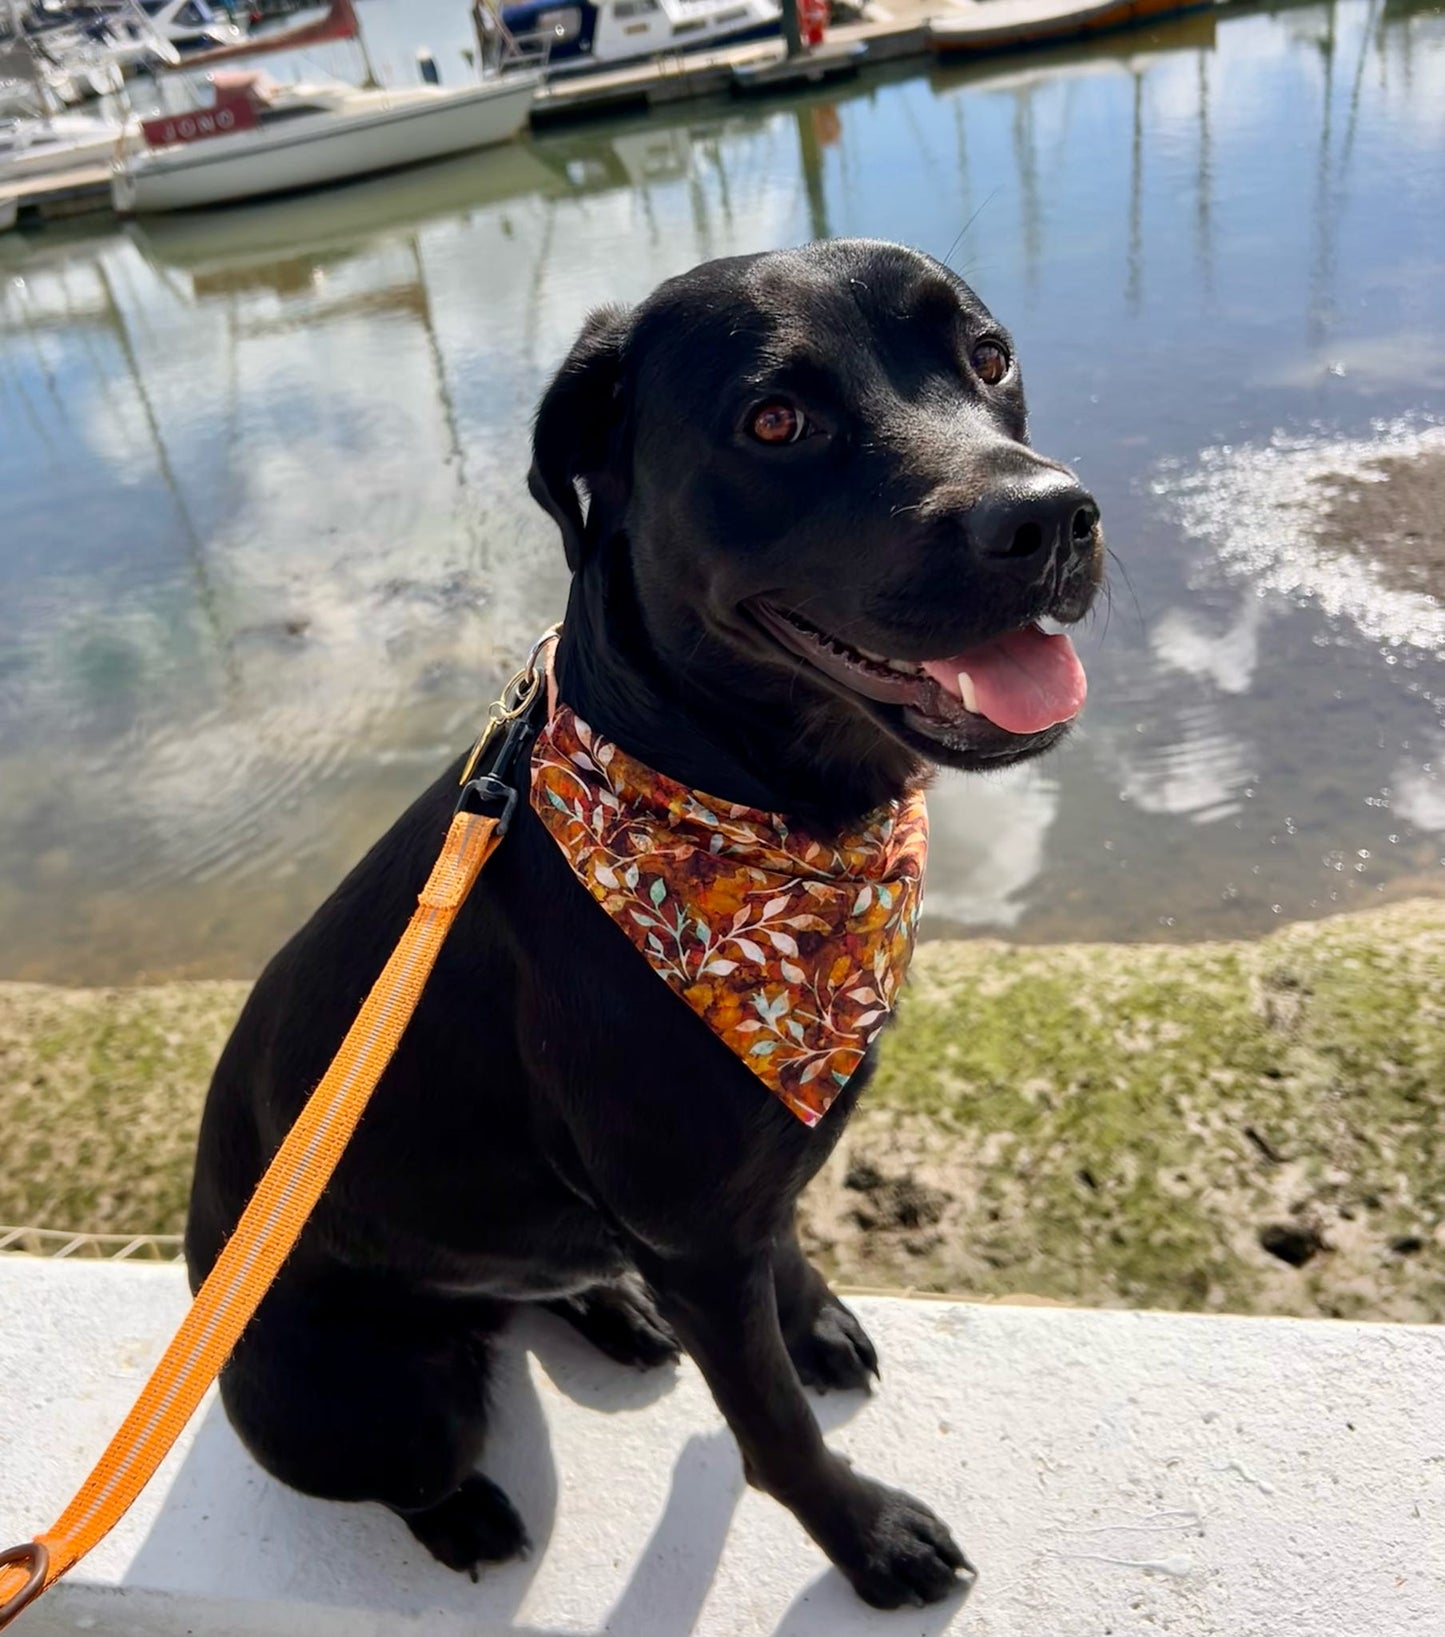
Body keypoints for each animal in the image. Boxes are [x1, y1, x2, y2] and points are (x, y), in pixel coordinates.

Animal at [186, 242, 1099, 1610]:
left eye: (987, 356)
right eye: (774, 422)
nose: (1045, 516)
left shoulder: (739, 1191)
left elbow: (782, 1245)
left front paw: (811, 1317)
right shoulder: (694, 1234)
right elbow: (772, 1426)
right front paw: (865, 1536)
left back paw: (608, 1308)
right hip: (376, 1405)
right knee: (416, 1467)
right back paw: (469, 1511)